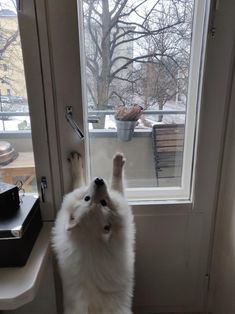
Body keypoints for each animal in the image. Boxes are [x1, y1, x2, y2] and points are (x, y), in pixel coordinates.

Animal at [52, 153, 135, 314]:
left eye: (102, 202)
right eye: (87, 198)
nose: (99, 180)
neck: (91, 240)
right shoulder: (122, 206)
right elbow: (116, 183)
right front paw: (117, 163)